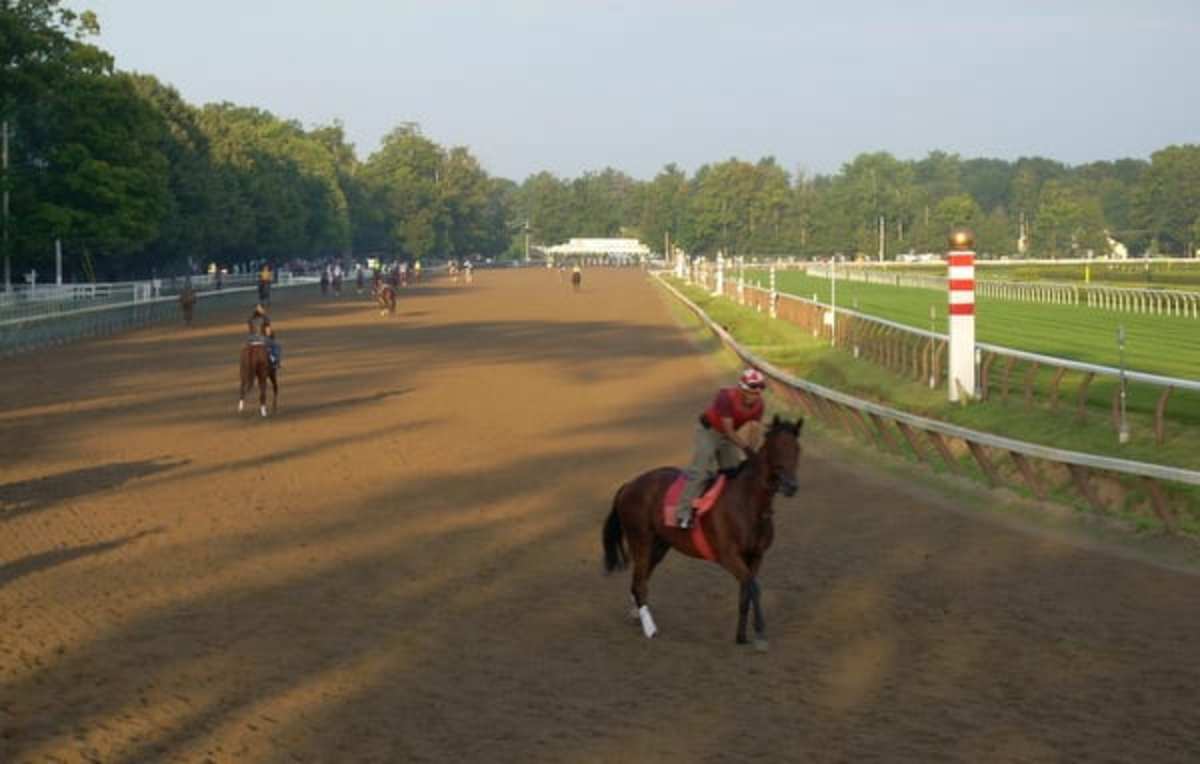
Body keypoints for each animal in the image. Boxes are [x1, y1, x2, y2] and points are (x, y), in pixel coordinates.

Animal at [604, 414, 801, 647]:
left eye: (797, 449)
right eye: (776, 448)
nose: (791, 486)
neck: (748, 503)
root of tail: (629, 485)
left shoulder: (756, 556)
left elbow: (746, 591)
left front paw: (741, 636)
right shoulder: (728, 556)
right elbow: (754, 587)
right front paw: (760, 632)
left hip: (660, 545)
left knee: (639, 581)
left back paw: (637, 614)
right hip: (640, 540)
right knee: (640, 583)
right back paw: (650, 629)